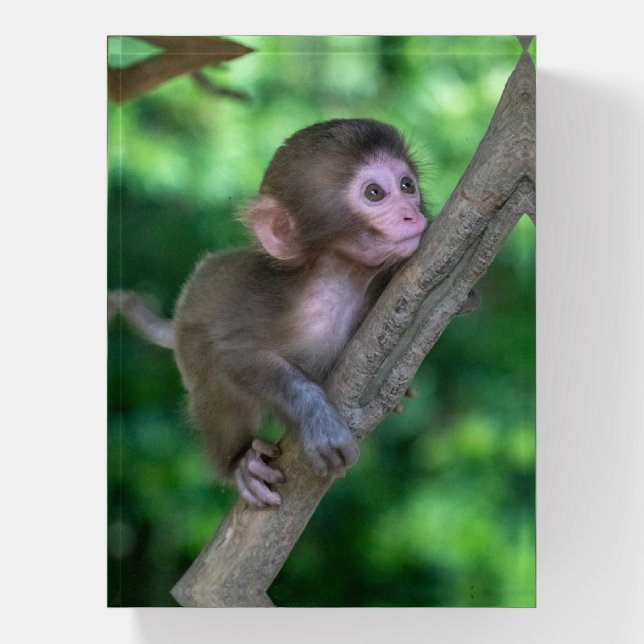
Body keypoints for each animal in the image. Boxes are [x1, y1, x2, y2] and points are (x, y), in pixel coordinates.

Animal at [173, 118, 430, 508]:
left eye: (407, 185)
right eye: (374, 193)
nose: (412, 214)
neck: (338, 283)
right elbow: (233, 352)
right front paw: (317, 418)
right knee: (211, 371)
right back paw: (239, 463)